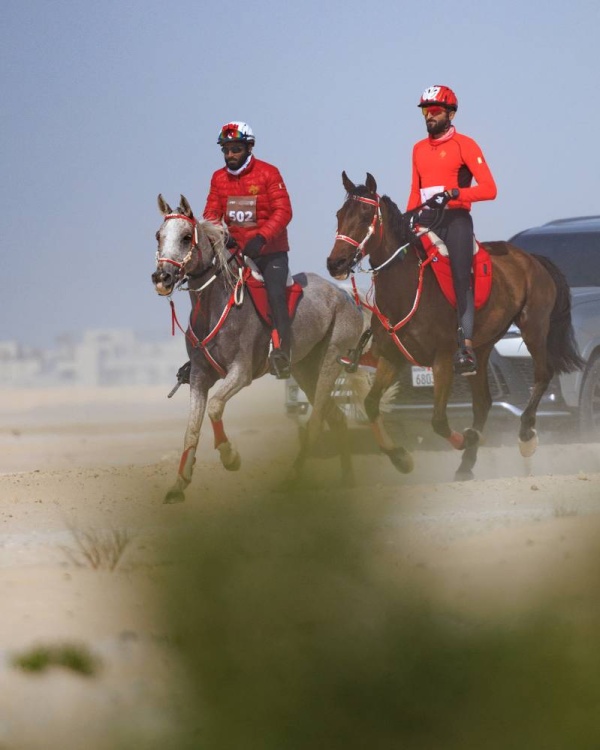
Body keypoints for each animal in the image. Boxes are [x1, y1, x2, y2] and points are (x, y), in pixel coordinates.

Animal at [152, 195, 364, 506]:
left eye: (186, 236)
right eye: (159, 236)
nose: (162, 277)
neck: (215, 306)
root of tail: (348, 298)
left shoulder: (241, 372)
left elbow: (215, 406)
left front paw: (230, 457)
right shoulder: (200, 377)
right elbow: (191, 430)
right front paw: (178, 485)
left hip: (330, 361)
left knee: (315, 424)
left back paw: (292, 479)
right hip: (304, 369)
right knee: (335, 417)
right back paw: (348, 479)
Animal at [326, 173, 584, 482]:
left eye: (366, 215)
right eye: (340, 215)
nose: (335, 263)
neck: (408, 287)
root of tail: (532, 259)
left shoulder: (443, 360)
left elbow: (438, 421)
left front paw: (468, 438)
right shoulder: (392, 358)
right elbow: (371, 404)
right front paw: (401, 458)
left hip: (533, 328)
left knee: (543, 375)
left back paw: (525, 437)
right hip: (481, 349)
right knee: (483, 402)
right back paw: (465, 465)